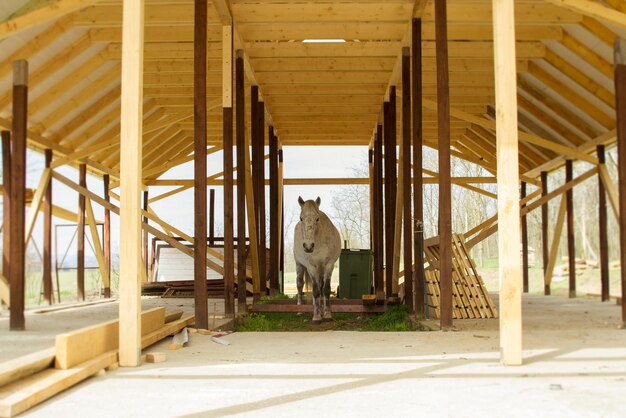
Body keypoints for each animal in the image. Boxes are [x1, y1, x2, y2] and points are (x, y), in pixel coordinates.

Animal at [294, 196, 342, 324]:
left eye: (317, 218)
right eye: (301, 218)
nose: (308, 246)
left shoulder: (328, 265)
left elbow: (325, 289)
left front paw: (327, 314)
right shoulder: (311, 267)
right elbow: (315, 291)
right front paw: (316, 317)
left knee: (320, 286)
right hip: (299, 265)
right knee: (299, 284)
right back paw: (299, 309)